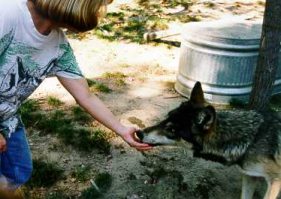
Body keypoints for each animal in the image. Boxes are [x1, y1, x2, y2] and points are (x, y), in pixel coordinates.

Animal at [137, 81, 280, 199]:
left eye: (171, 129)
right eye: (166, 118)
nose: (139, 133)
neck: (252, 139)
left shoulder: (275, 181)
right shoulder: (250, 175)